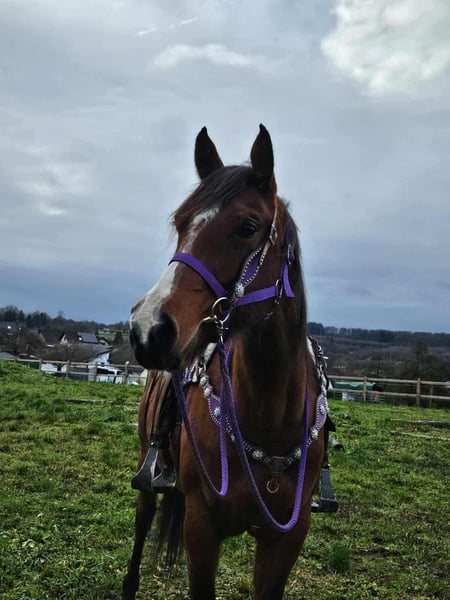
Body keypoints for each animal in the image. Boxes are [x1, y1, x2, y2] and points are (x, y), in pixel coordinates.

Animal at [123, 124, 329, 600]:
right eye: (181, 224)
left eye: (248, 226)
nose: (147, 328)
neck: (270, 417)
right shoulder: (202, 529)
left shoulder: (286, 539)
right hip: (146, 464)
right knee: (142, 522)